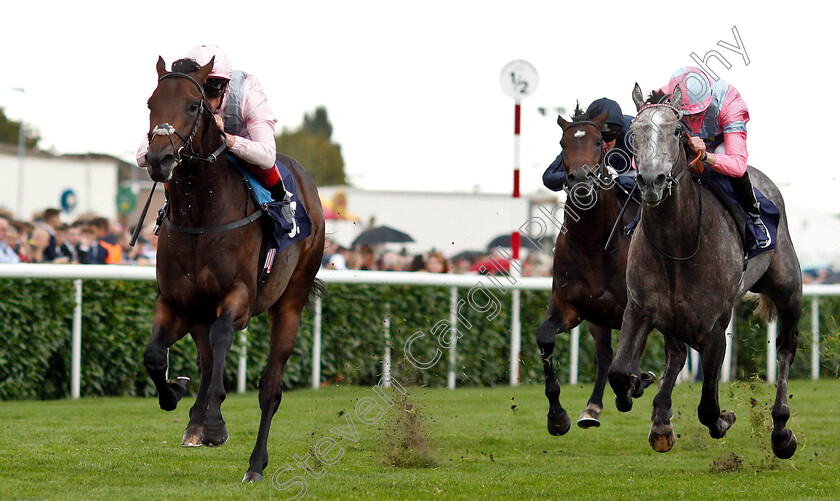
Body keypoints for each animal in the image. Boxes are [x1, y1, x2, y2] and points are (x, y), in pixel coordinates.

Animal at [141, 55, 324, 480]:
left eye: (193, 105)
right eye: (151, 103)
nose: (158, 160)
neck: (201, 215)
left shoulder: (238, 298)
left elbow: (223, 338)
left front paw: (212, 421)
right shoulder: (177, 303)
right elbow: (155, 355)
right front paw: (178, 394)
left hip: (290, 300)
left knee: (270, 388)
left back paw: (255, 464)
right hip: (199, 313)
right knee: (206, 358)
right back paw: (195, 418)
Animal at [540, 106, 656, 434]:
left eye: (597, 143)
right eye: (563, 144)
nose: (581, 178)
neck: (596, 244)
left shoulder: (638, 307)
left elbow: (629, 357)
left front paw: (634, 384)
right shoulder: (571, 306)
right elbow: (545, 338)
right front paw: (557, 416)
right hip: (599, 318)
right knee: (605, 356)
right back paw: (593, 408)